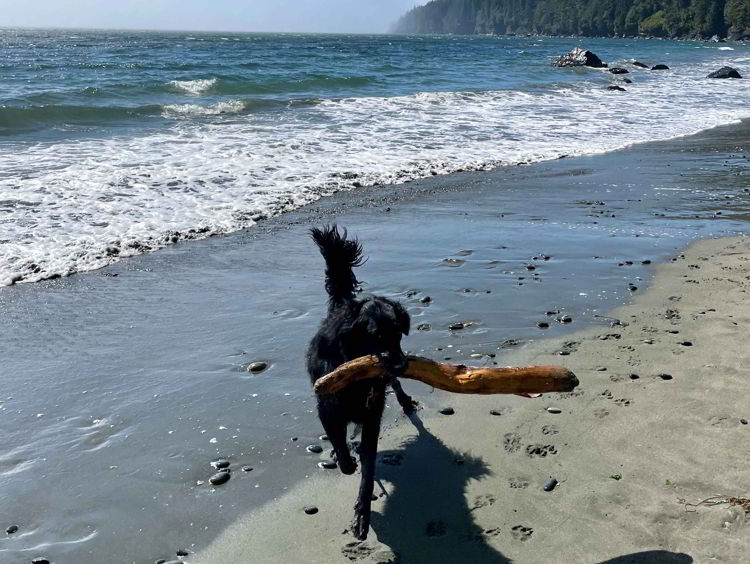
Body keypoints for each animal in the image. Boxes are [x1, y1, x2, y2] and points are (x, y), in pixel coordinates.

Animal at [308, 224, 420, 536]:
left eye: (398, 333)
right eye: (375, 336)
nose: (401, 364)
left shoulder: (372, 415)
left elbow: (368, 472)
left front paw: (362, 513)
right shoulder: (328, 409)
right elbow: (340, 442)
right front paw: (345, 459)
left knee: (395, 388)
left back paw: (406, 401)